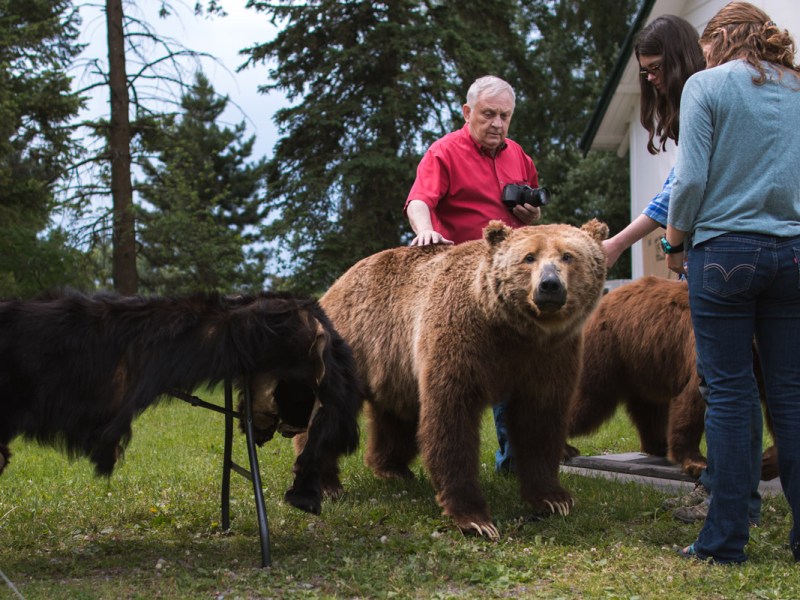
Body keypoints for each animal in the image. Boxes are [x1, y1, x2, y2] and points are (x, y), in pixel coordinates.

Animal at [318, 220, 608, 540]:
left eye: (568, 256)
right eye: (529, 257)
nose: (549, 285)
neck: (513, 330)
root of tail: (338, 282)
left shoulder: (550, 356)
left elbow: (539, 422)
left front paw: (554, 498)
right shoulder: (463, 342)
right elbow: (452, 420)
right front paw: (475, 518)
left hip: (395, 368)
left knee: (396, 417)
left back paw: (393, 469)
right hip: (356, 343)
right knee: (332, 413)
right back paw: (326, 484)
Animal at [564, 274, 780, 480]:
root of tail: (606, 299)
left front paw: (768, 462)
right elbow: (693, 403)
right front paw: (696, 462)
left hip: (646, 363)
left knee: (649, 408)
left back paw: (659, 444)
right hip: (608, 349)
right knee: (589, 399)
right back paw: (566, 448)